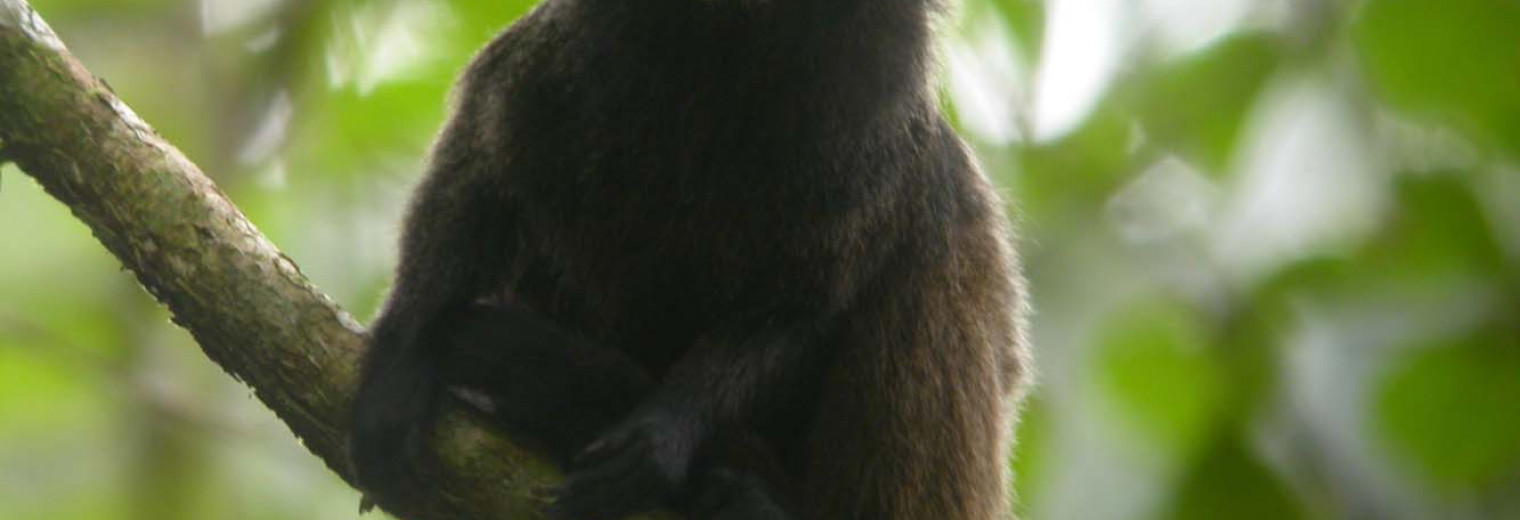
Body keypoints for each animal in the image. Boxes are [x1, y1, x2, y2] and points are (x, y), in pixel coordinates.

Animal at [345, 0, 1033, 516]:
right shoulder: (561, 53)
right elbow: (484, 153)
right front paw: (404, 353)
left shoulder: (876, 113)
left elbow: (802, 300)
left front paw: (666, 432)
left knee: (939, 199)